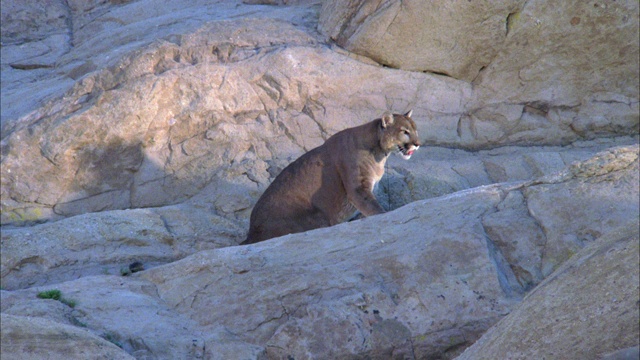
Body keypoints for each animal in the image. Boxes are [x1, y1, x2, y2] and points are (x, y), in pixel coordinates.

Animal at [241, 110, 420, 245]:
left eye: (415, 130)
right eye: (404, 131)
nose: (417, 144)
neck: (380, 151)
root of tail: (250, 234)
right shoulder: (358, 188)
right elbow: (374, 209)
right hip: (319, 217)